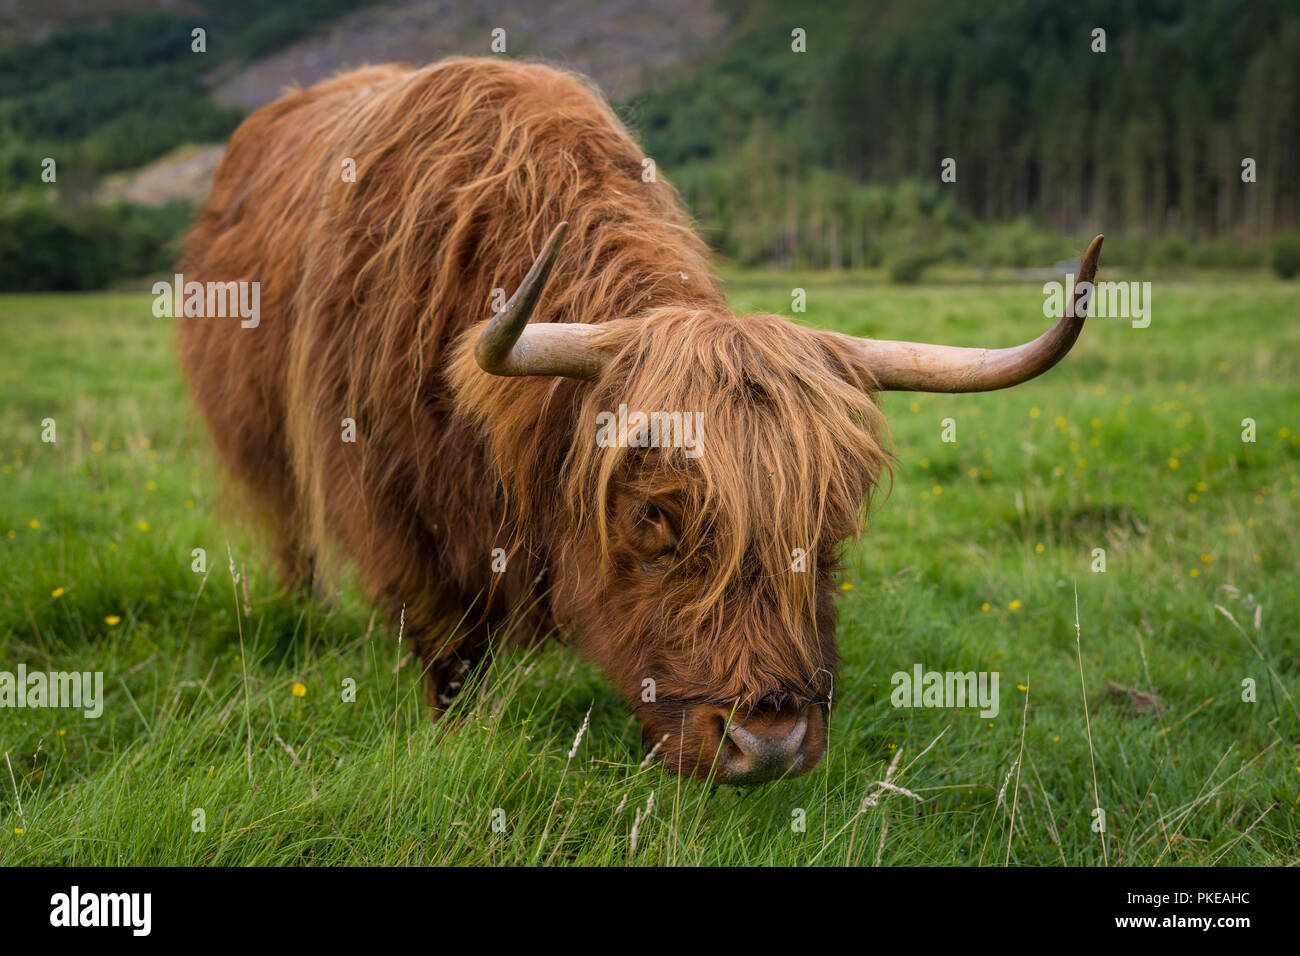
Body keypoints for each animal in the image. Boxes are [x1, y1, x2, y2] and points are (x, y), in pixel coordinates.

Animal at [180, 54, 1097, 785]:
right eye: (653, 517)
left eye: (830, 525)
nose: (768, 743)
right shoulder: (396, 520)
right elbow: (448, 655)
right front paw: (451, 738)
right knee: (289, 535)